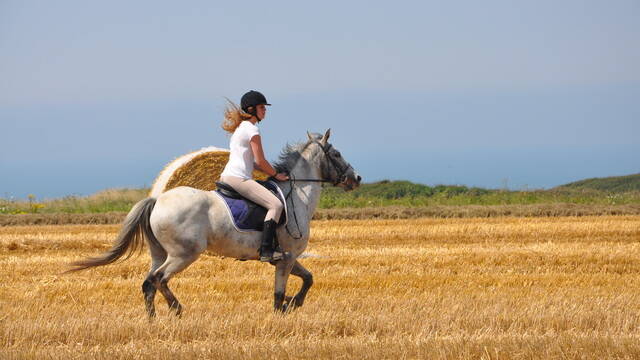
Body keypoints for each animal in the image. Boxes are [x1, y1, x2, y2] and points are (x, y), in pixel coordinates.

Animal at [70, 130, 362, 318]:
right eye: (336, 153)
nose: (356, 178)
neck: (297, 194)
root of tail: (157, 199)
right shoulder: (287, 256)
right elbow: (280, 293)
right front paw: (286, 309)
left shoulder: (287, 258)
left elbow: (309, 278)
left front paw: (294, 303)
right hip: (183, 254)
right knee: (158, 279)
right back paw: (177, 310)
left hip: (159, 253)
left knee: (148, 283)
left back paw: (152, 320)